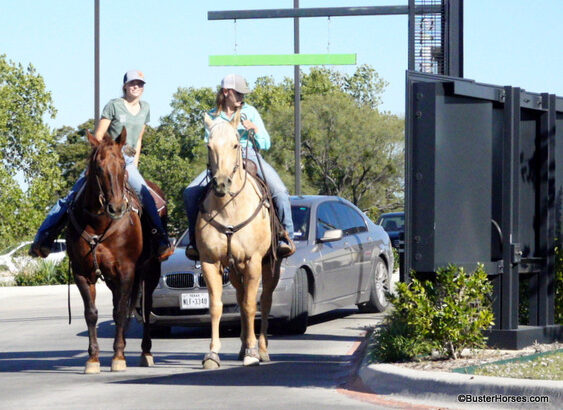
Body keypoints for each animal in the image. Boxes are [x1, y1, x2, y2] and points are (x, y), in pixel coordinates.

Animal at [67, 130, 163, 374]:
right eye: (98, 167)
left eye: (122, 164)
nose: (117, 207)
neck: (98, 223)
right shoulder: (82, 273)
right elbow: (91, 313)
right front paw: (93, 358)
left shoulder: (127, 271)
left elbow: (121, 312)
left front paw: (118, 357)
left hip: (151, 271)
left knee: (146, 308)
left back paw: (145, 352)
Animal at [196, 115, 280, 368]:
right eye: (209, 146)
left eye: (235, 144)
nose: (221, 183)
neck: (229, 209)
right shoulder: (210, 262)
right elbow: (216, 306)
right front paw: (212, 354)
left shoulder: (254, 261)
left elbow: (252, 305)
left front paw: (253, 353)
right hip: (234, 270)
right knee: (241, 299)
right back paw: (243, 347)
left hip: (270, 266)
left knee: (264, 300)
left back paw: (260, 349)